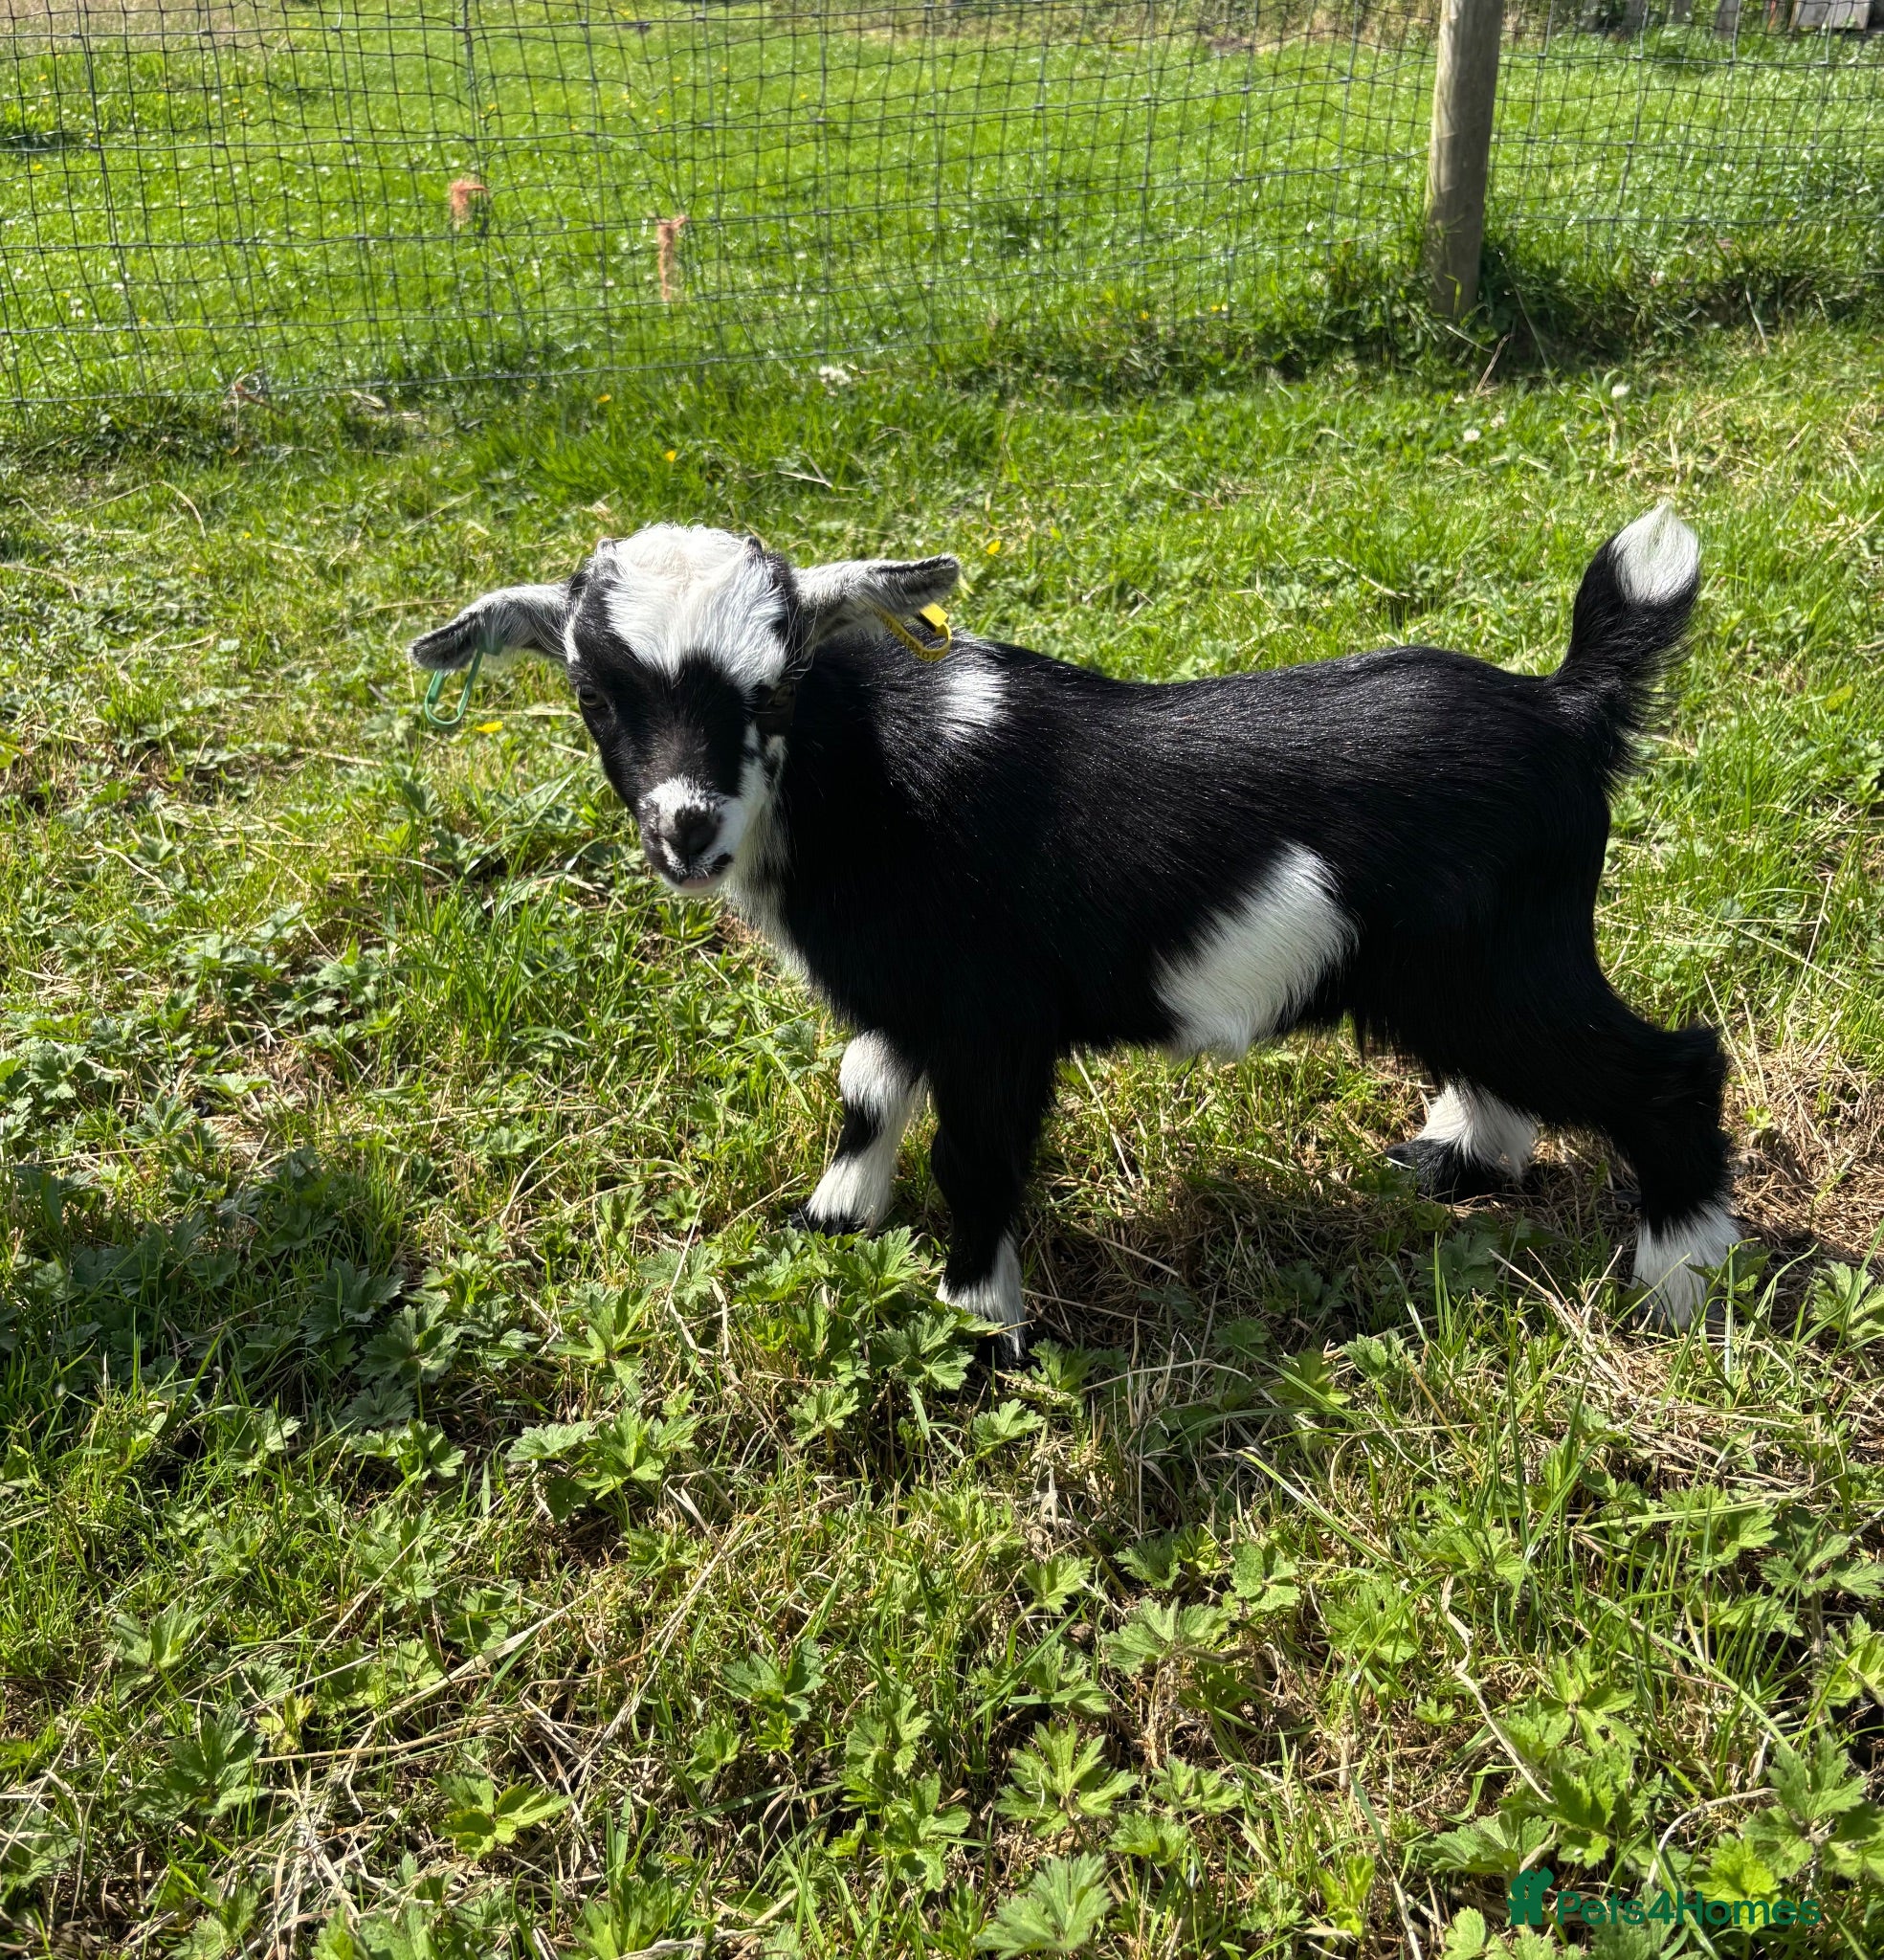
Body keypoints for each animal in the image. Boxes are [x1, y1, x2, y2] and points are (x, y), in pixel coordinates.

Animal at [410, 509, 1738, 1354]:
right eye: (594, 695)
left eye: (773, 685)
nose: (685, 829)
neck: (863, 774)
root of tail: (1565, 706)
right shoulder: (912, 991)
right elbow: (864, 1085)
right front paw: (837, 1218)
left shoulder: (991, 1015)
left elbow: (976, 1155)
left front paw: (978, 1326)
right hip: (1461, 969)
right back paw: (1462, 1158)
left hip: (1508, 961)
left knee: (1667, 1066)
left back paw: (1679, 1276)